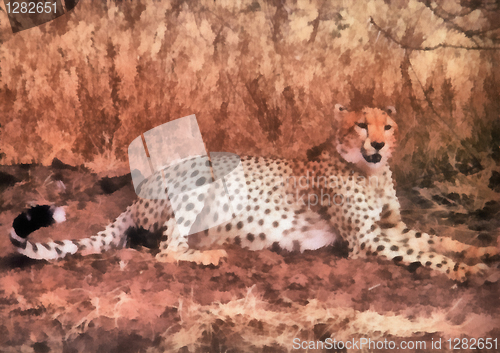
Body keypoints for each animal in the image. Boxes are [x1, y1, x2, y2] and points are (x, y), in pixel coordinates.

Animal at [9, 104, 498, 280]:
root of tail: (140, 191)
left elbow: (433, 238)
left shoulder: (388, 227)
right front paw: (462, 270)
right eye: (362, 124)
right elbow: (423, 252)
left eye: (388, 126)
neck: (370, 173)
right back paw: (208, 255)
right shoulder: (366, 240)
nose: (377, 144)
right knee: (166, 249)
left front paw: (480, 251)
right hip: (200, 181)